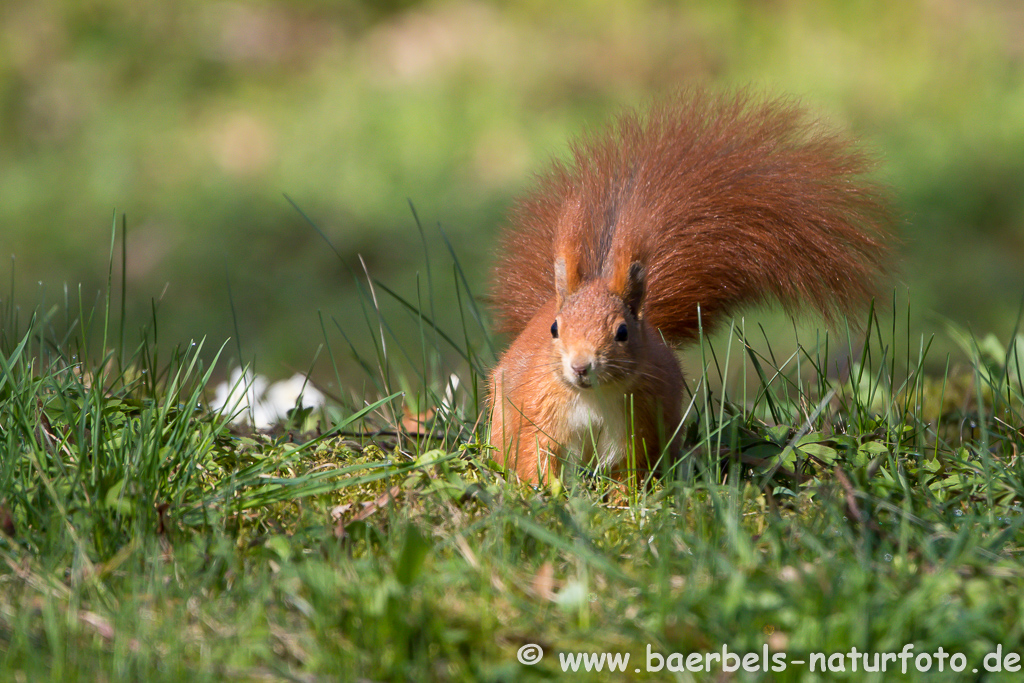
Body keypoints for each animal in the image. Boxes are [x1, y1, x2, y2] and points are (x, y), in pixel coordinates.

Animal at [483, 89, 892, 485]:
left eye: (622, 332)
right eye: (555, 329)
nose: (581, 366)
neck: (593, 397)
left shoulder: (637, 425)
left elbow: (628, 472)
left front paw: (623, 498)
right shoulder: (539, 414)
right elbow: (533, 458)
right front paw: (541, 491)